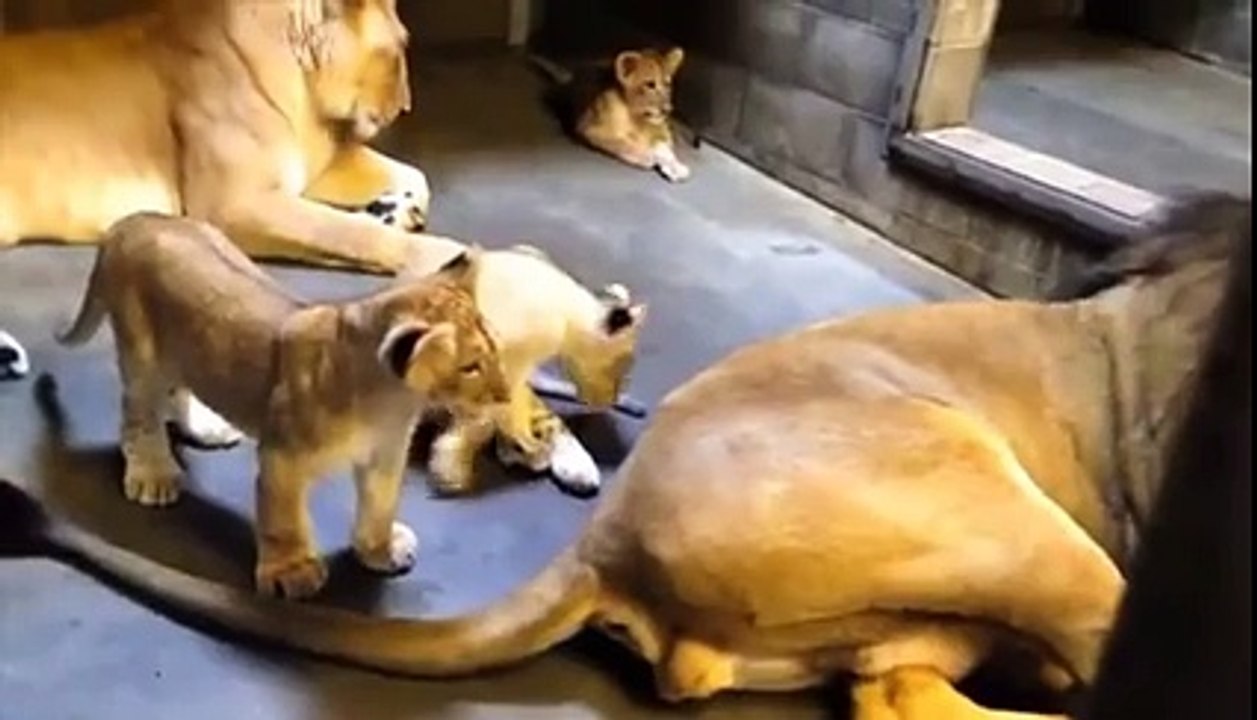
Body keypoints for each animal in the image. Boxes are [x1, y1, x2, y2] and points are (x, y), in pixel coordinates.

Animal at [54, 212, 510, 600]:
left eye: (495, 349)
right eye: (470, 367)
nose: (505, 395)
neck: (390, 403)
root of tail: (133, 221)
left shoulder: (385, 453)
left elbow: (380, 502)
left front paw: (378, 548)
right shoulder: (282, 456)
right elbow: (283, 518)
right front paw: (292, 571)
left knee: (177, 388)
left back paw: (207, 429)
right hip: (142, 354)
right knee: (139, 415)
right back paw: (153, 474)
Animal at [542, 47, 691, 182]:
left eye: (667, 85)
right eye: (650, 85)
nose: (668, 109)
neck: (635, 115)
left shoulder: (661, 129)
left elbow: (664, 148)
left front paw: (676, 168)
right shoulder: (590, 129)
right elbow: (620, 143)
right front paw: (645, 155)